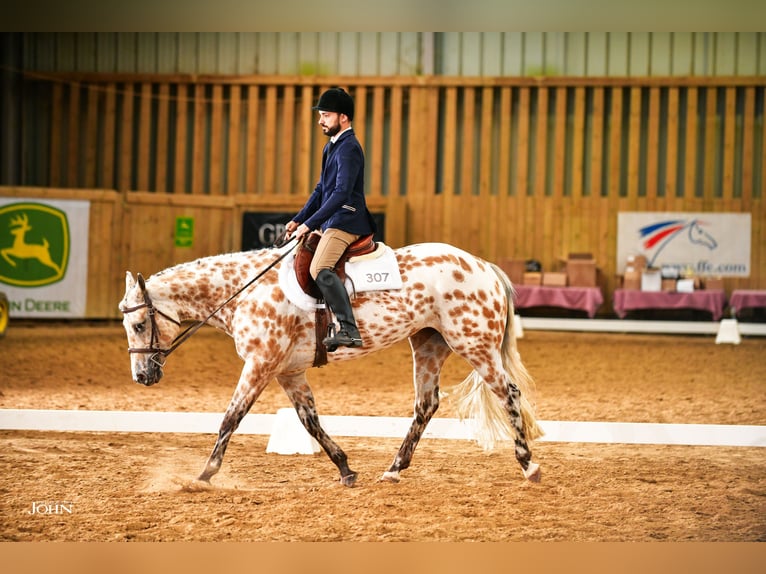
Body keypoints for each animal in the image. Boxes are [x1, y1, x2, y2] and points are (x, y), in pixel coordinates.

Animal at [117, 241, 544, 488]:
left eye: (138, 325)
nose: (142, 377)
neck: (244, 292)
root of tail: (483, 265)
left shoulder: (260, 364)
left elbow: (230, 419)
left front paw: (203, 476)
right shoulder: (288, 372)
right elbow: (310, 421)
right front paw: (345, 469)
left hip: (476, 344)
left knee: (508, 393)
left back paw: (528, 465)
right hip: (428, 345)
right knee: (426, 405)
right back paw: (394, 469)